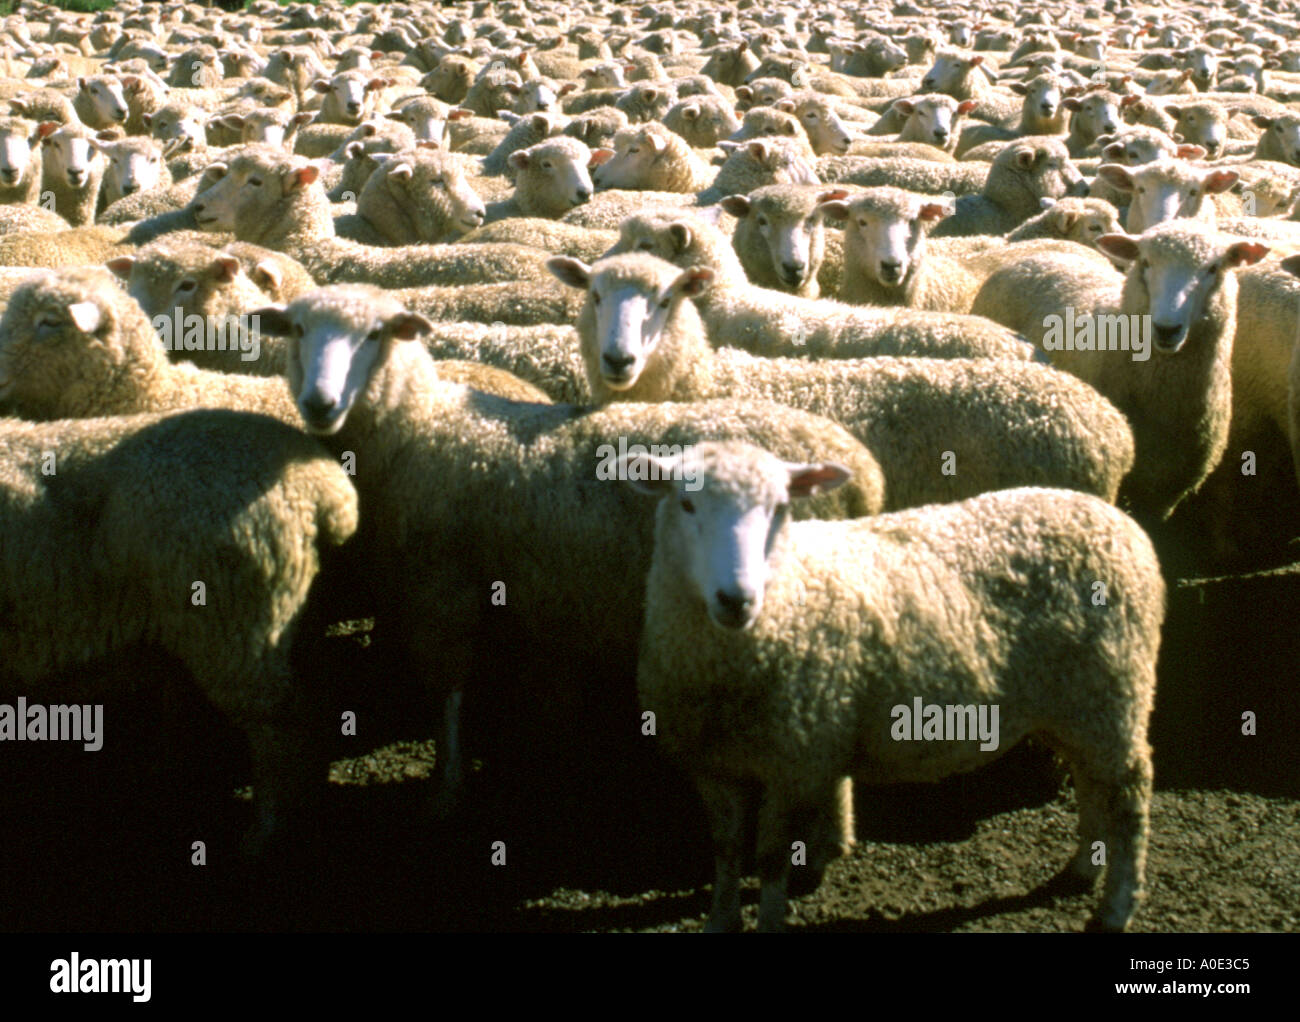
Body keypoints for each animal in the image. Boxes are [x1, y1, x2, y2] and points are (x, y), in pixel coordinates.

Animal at [0, 407, 358, 857]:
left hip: (237, 633)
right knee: (313, 705)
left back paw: (265, 830)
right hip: (291, 622)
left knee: (282, 725)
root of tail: (325, 493)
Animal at [250, 283, 886, 814]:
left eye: (375, 334)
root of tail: (864, 472)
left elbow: (447, 688)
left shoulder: (441, 587)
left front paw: (446, 786)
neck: (422, 427)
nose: (319, 403)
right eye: (299, 330)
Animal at [628, 440, 1160, 933]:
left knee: (1129, 797)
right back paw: (1081, 870)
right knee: (1092, 784)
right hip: (1076, 706)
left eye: (779, 507)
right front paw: (721, 919)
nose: (737, 599)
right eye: (686, 503)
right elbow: (726, 850)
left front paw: (770, 920)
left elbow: (772, 857)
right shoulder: (711, 763)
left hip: (1114, 694)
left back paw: (1116, 905)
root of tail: (1119, 521)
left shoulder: (794, 762)